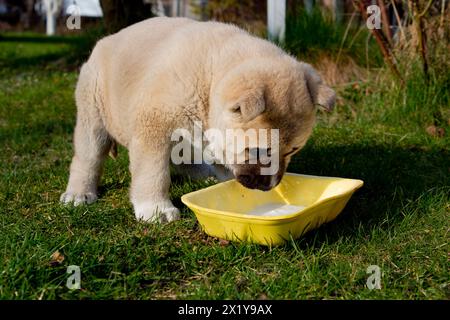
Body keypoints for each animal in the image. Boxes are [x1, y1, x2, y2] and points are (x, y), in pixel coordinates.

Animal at [60, 16, 334, 222]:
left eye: (293, 150)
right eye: (259, 150)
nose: (269, 186)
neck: (210, 80)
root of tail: (107, 39)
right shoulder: (154, 126)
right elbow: (153, 171)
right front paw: (155, 209)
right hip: (93, 111)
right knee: (88, 157)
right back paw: (78, 193)